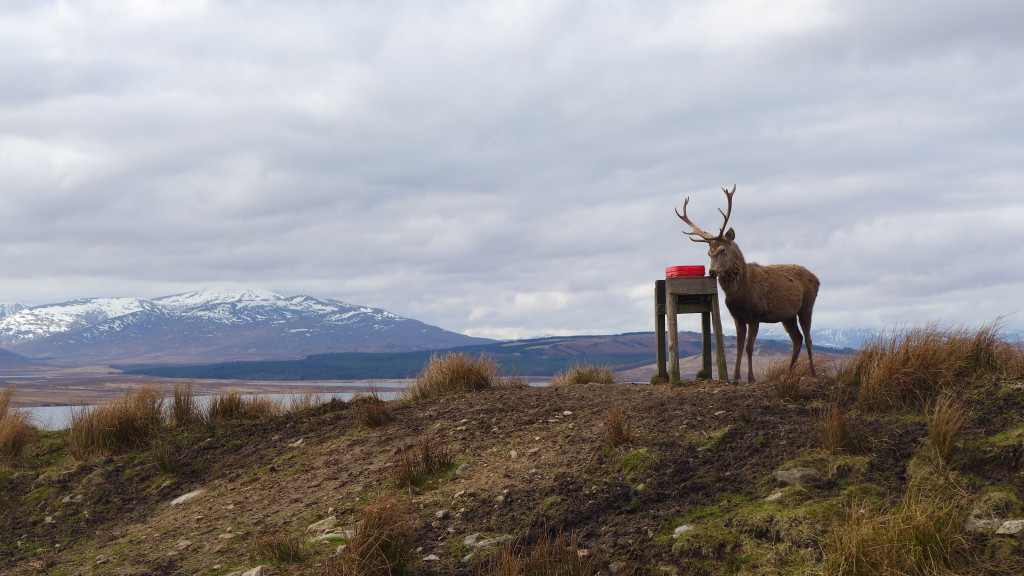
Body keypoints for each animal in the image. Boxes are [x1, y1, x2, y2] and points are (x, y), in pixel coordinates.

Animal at [675, 185, 820, 382]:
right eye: (709, 252)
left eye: (723, 250)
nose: (712, 271)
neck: (740, 294)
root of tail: (818, 279)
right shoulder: (737, 316)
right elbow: (738, 345)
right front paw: (735, 377)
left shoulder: (755, 315)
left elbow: (749, 347)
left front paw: (751, 377)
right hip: (787, 316)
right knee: (797, 339)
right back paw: (789, 373)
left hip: (807, 306)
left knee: (808, 338)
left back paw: (813, 373)